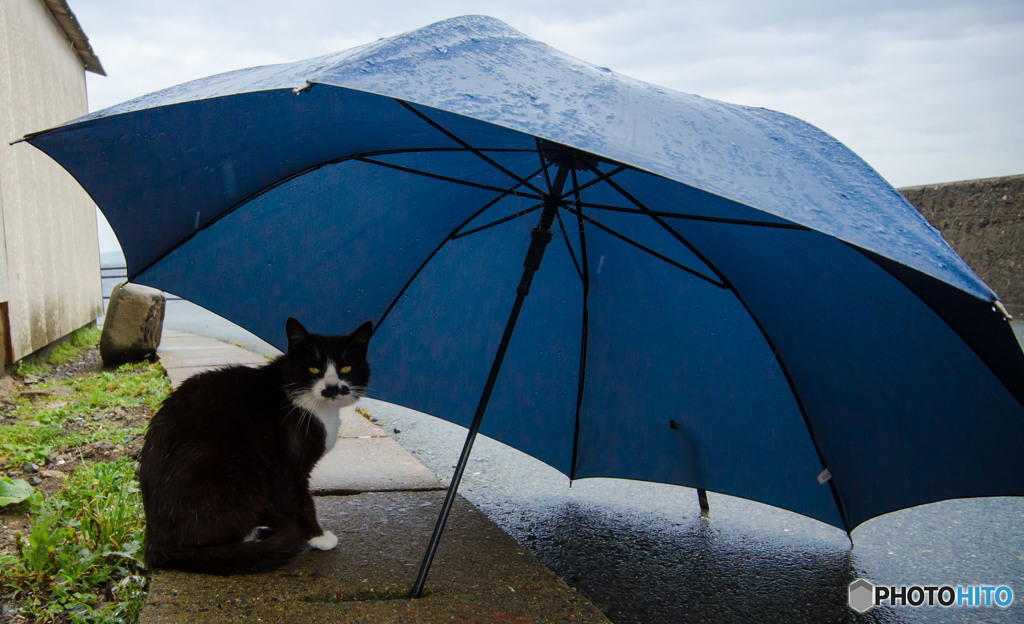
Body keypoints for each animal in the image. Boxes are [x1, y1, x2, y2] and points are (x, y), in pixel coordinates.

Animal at [139, 319, 372, 573]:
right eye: (313, 370)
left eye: (346, 369)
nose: (331, 388)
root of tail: (153, 542)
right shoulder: (288, 466)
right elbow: (300, 501)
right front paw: (318, 536)